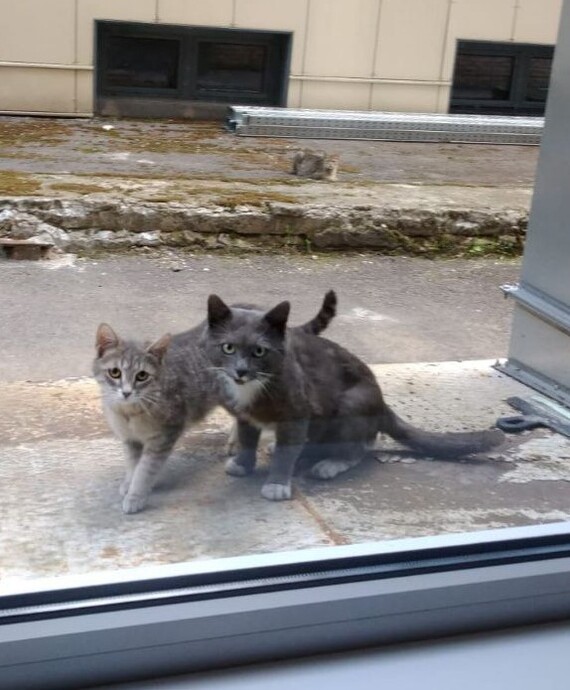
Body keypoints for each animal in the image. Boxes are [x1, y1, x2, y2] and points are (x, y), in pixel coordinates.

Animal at [91, 288, 336, 510]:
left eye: (142, 376)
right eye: (115, 373)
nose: (126, 392)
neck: (128, 413)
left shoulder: (164, 436)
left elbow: (145, 469)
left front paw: (136, 496)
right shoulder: (131, 440)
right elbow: (133, 464)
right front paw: (129, 483)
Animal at [202, 296, 504, 500]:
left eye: (259, 351)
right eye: (228, 348)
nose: (240, 371)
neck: (250, 389)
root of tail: (382, 404)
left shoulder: (297, 411)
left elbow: (287, 452)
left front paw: (276, 484)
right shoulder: (245, 414)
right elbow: (247, 439)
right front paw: (243, 464)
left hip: (351, 404)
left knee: (361, 446)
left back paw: (330, 464)